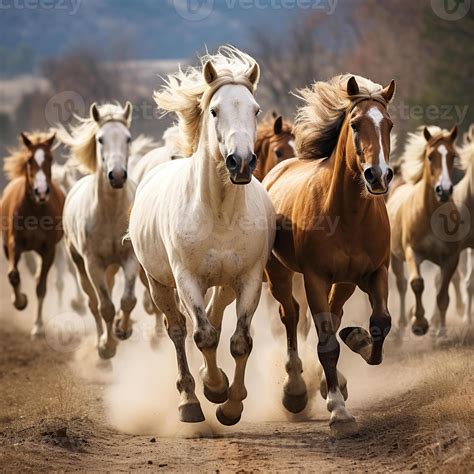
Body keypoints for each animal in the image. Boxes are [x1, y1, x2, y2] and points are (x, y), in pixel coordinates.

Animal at [0, 131, 65, 336]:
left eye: (50, 158)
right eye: (29, 160)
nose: (41, 191)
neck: (36, 210)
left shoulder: (49, 249)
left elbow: (41, 286)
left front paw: (38, 327)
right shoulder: (14, 243)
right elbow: (13, 275)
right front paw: (20, 301)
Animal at [55, 102, 141, 358]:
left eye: (128, 138)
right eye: (100, 139)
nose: (118, 176)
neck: (110, 214)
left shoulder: (129, 257)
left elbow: (127, 300)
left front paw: (123, 330)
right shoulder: (93, 263)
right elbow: (105, 307)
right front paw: (107, 346)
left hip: (111, 267)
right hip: (79, 264)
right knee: (93, 303)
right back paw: (101, 345)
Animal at [128, 47, 276, 426]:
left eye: (255, 109)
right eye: (214, 110)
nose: (241, 162)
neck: (219, 213)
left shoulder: (249, 279)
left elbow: (240, 341)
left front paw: (231, 404)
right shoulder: (187, 279)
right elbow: (203, 335)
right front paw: (213, 389)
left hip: (224, 284)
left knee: (216, 315)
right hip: (159, 283)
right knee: (179, 329)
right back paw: (189, 399)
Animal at [262, 73, 396, 434]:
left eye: (389, 124)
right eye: (355, 124)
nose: (378, 175)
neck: (348, 215)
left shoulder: (374, 272)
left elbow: (380, 323)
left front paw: (359, 339)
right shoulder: (315, 278)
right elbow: (326, 343)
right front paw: (339, 412)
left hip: (345, 283)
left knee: (333, 316)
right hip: (279, 274)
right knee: (291, 315)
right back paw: (294, 390)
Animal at [386, 126, 462, 340]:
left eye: (453, 156)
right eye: (430, 156)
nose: (443, 190)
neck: (431, 214)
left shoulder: (451, 258)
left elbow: (443, 295)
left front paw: (441, 334)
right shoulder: (413, 252)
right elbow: (417, 284)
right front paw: (418, 323)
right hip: (395, 257)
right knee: (402, 284)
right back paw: (401, 325)